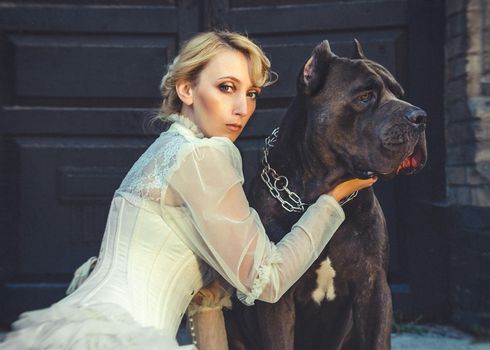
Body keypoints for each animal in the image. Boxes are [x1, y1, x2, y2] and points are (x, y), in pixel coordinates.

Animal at [225, 41, 424, 350]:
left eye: (400, 94)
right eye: (365, 96)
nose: (420, 117)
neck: (322, 193)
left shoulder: (374, 287)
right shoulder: (278, 298)